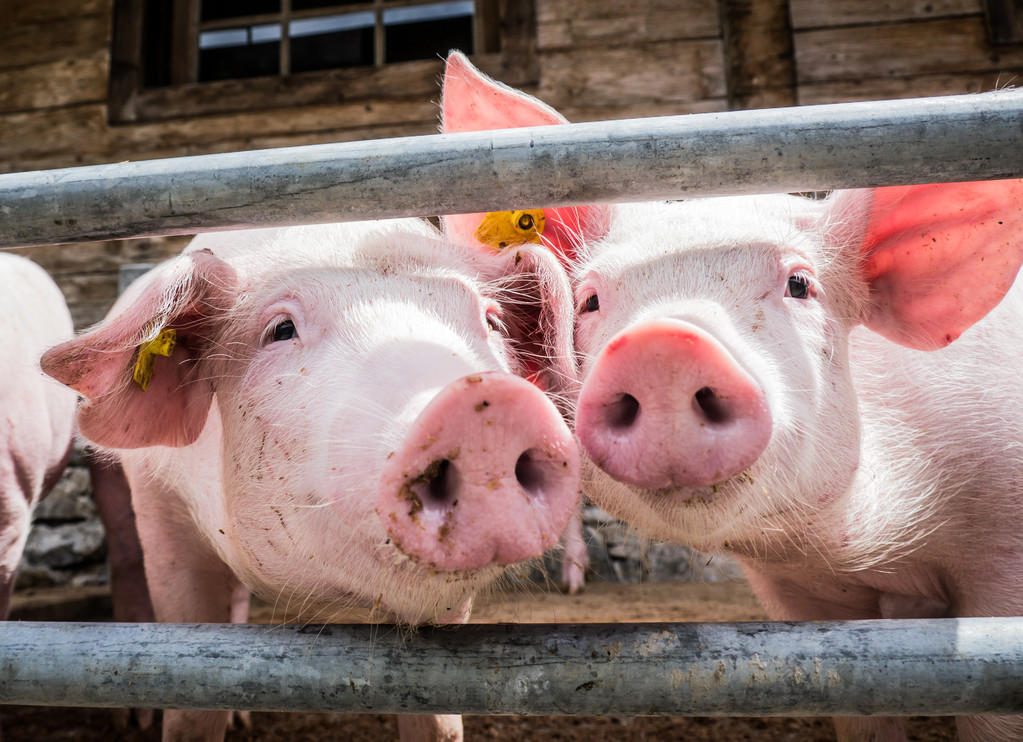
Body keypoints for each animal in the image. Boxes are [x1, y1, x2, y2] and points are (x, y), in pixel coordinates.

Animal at [39, 219, 581, 740]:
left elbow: (438, 720)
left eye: (491, 321)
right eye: (282, 330)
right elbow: (191, 703)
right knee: (126, 560)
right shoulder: (161, 504)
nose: (486, 403)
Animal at [443, 49, 1023, 736]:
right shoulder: (816, 614)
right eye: (589, 300)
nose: (663, 345)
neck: (881, 556)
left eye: (801, 284)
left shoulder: (1002, 567)